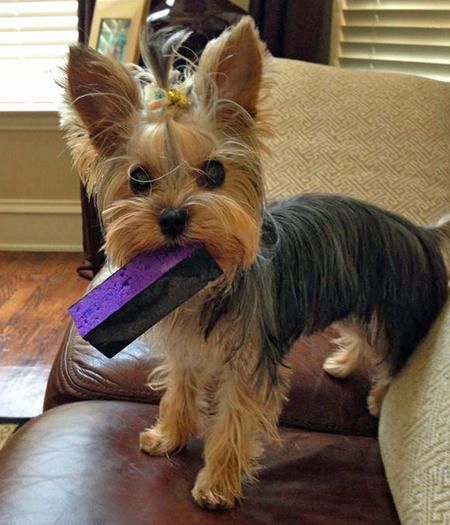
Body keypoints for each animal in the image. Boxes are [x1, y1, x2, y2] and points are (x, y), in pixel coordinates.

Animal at [60, 16, 450, 508]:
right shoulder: (185, 349)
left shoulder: (249, 365)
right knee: (362, 337)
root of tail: (421, 232)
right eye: (140, 179)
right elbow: (179, 389)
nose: (172, 217)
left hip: (395, 310)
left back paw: (379, 397)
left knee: (392, 356)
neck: (204, 288)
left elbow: (233, 421)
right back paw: (342, 364)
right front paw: (168, 435)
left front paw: (216, 484)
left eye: (214, 172)